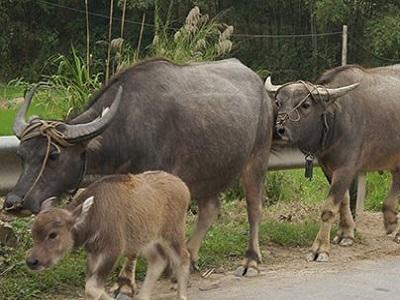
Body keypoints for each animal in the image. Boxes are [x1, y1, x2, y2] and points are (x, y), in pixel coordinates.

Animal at [3, 58, 274, 272]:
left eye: (54, 155)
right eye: (21, 155)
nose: (14, 202)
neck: (127, 128)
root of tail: (261, 88)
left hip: (256, 158)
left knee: (254, 207)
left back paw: (251, 259)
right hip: (209, 170)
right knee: (209, 209)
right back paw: (189, 257)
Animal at [26, 171, 191, 300]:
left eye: (53, 234)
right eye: (33, 233)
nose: (32, 261)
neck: (93, 215)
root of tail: (183, 186)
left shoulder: (112, 250)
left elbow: (92, 289)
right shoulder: (93, 253)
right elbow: (91, 289)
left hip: (172, 234)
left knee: (183, 258)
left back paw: (182, 295)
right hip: (147, 239)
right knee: (158, 259)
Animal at [266, 63, 400, 262]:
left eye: (305, 105)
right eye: (278, 103)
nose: (280, 129)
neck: (336, 121)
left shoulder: (346, 168)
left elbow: (329, 208)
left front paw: (319, 248)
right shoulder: (328, 167)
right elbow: (343, 200)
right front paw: (346, 234)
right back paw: (391, 222)